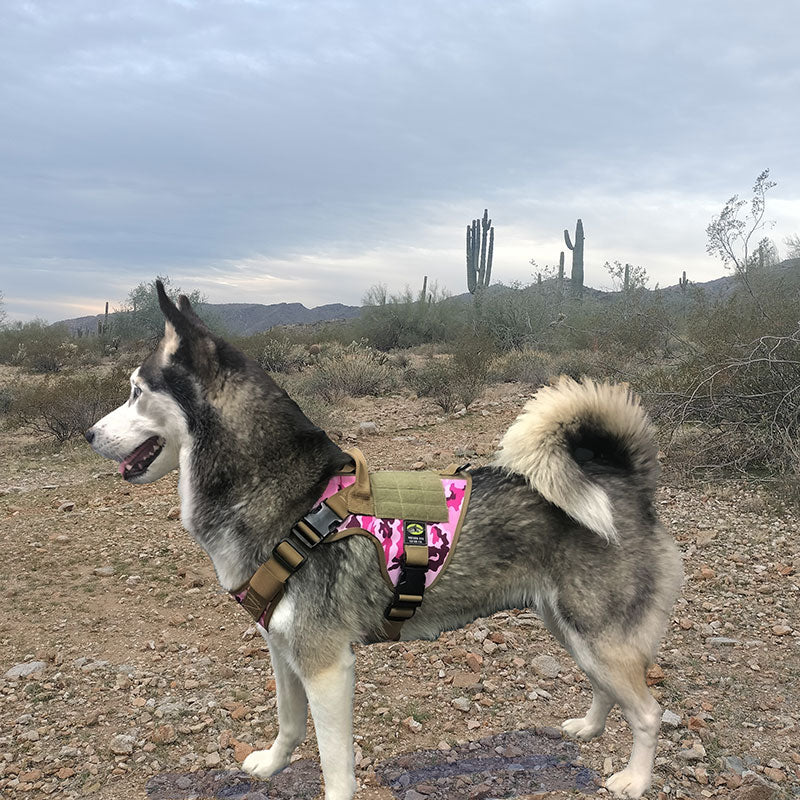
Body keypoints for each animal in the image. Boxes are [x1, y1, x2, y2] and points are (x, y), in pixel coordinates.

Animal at [87, 284, 680, 796]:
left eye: (137, 392)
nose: (89, 434)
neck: (289, 497)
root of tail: (625, 479)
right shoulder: (282, 648)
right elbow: (288, 723)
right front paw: (272, 764)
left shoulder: (327, 667)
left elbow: (334, 767)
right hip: (570, 628)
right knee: (607, 689)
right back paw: (588, 728)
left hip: (597, 636)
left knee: (648, 712)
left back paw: (635, 780)